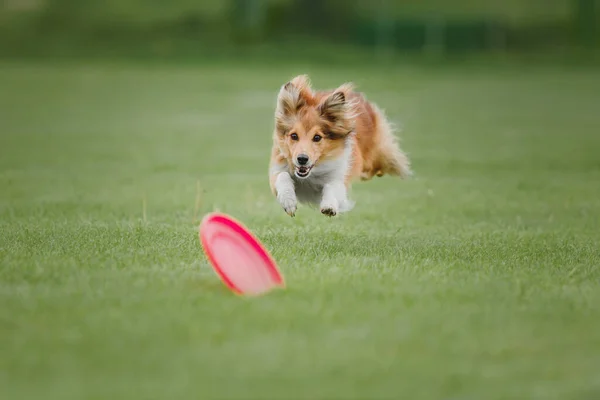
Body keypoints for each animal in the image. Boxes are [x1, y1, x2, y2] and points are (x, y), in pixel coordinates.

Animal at [270, 73, 410, 217]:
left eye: (317, 137)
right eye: (294, 136)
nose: (302, 159)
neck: (311, 174)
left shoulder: (340, 176)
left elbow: (332, 186)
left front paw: (329, 206)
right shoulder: (276, 170)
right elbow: (282, 176)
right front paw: (288, 202)